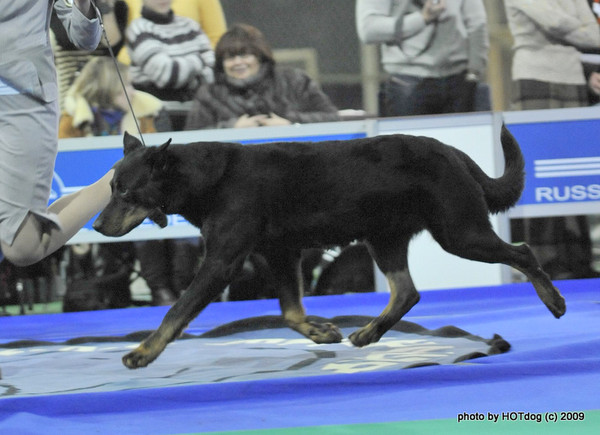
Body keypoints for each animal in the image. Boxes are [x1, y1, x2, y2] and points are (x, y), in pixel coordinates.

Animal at [95, 125, 568, 368]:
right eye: (112, 188)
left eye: (126, 192)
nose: (96, 225)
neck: (207, 180)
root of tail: (452, 151)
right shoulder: (279, 253)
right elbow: (290, 311)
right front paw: (321, 331)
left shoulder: (223, 262)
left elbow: (175, 312)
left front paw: (142, 352)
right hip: (385, 237)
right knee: (406, 292)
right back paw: (369, 332)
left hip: (459, 232)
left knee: (523, 252)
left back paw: (555, 301)